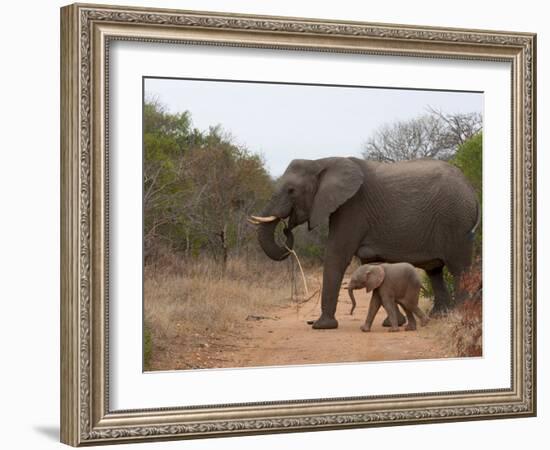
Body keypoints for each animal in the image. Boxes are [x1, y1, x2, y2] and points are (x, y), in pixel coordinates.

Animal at [248, 156, 480, 328]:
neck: (321, 161)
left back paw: (459, 315)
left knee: (459, 268)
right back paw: (439, 316)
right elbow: (372, 264)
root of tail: (471, 188)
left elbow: (336, 255)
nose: (286, 228)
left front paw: (322, 326)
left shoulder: (351, 208)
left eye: (291, 191)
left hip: (456, 221)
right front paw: (393, 322)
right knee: (435, 271)